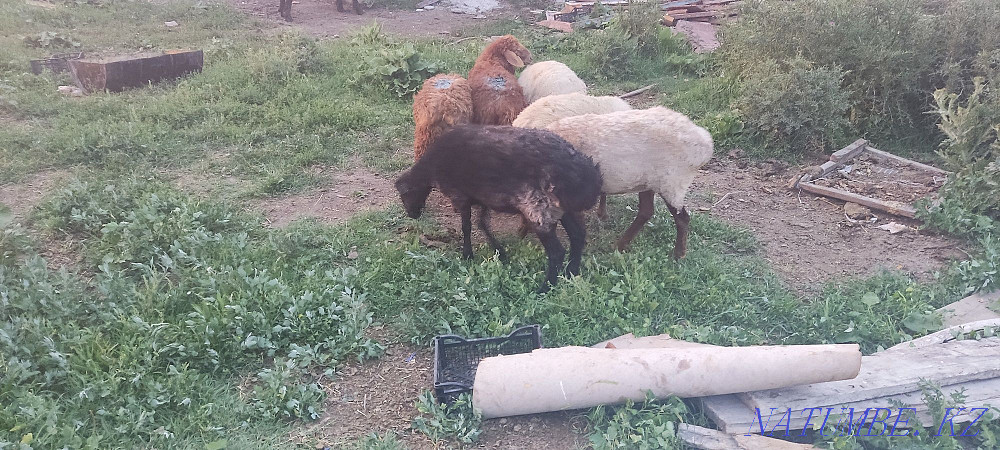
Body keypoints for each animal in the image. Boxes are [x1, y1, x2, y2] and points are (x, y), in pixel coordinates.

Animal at [394, 124, 602, 292]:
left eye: (405, 194)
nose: (413, 214)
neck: (432, 168)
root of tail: (588, 177)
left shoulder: (460, 195)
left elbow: (467, 227)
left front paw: (467, 254)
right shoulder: (483, 198)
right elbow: (482, 224)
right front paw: (500, 252)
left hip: (540, 210)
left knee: (557, 252)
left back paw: (545, 288)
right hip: (565, 209)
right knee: (577, 237)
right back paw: (571, 273)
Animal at [544, 107, 714, 259]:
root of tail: (705, 143)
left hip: (672, 182)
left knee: (682, 218)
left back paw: (678, 254)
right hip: (649, 181)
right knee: (646, 211)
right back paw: (620, 246)